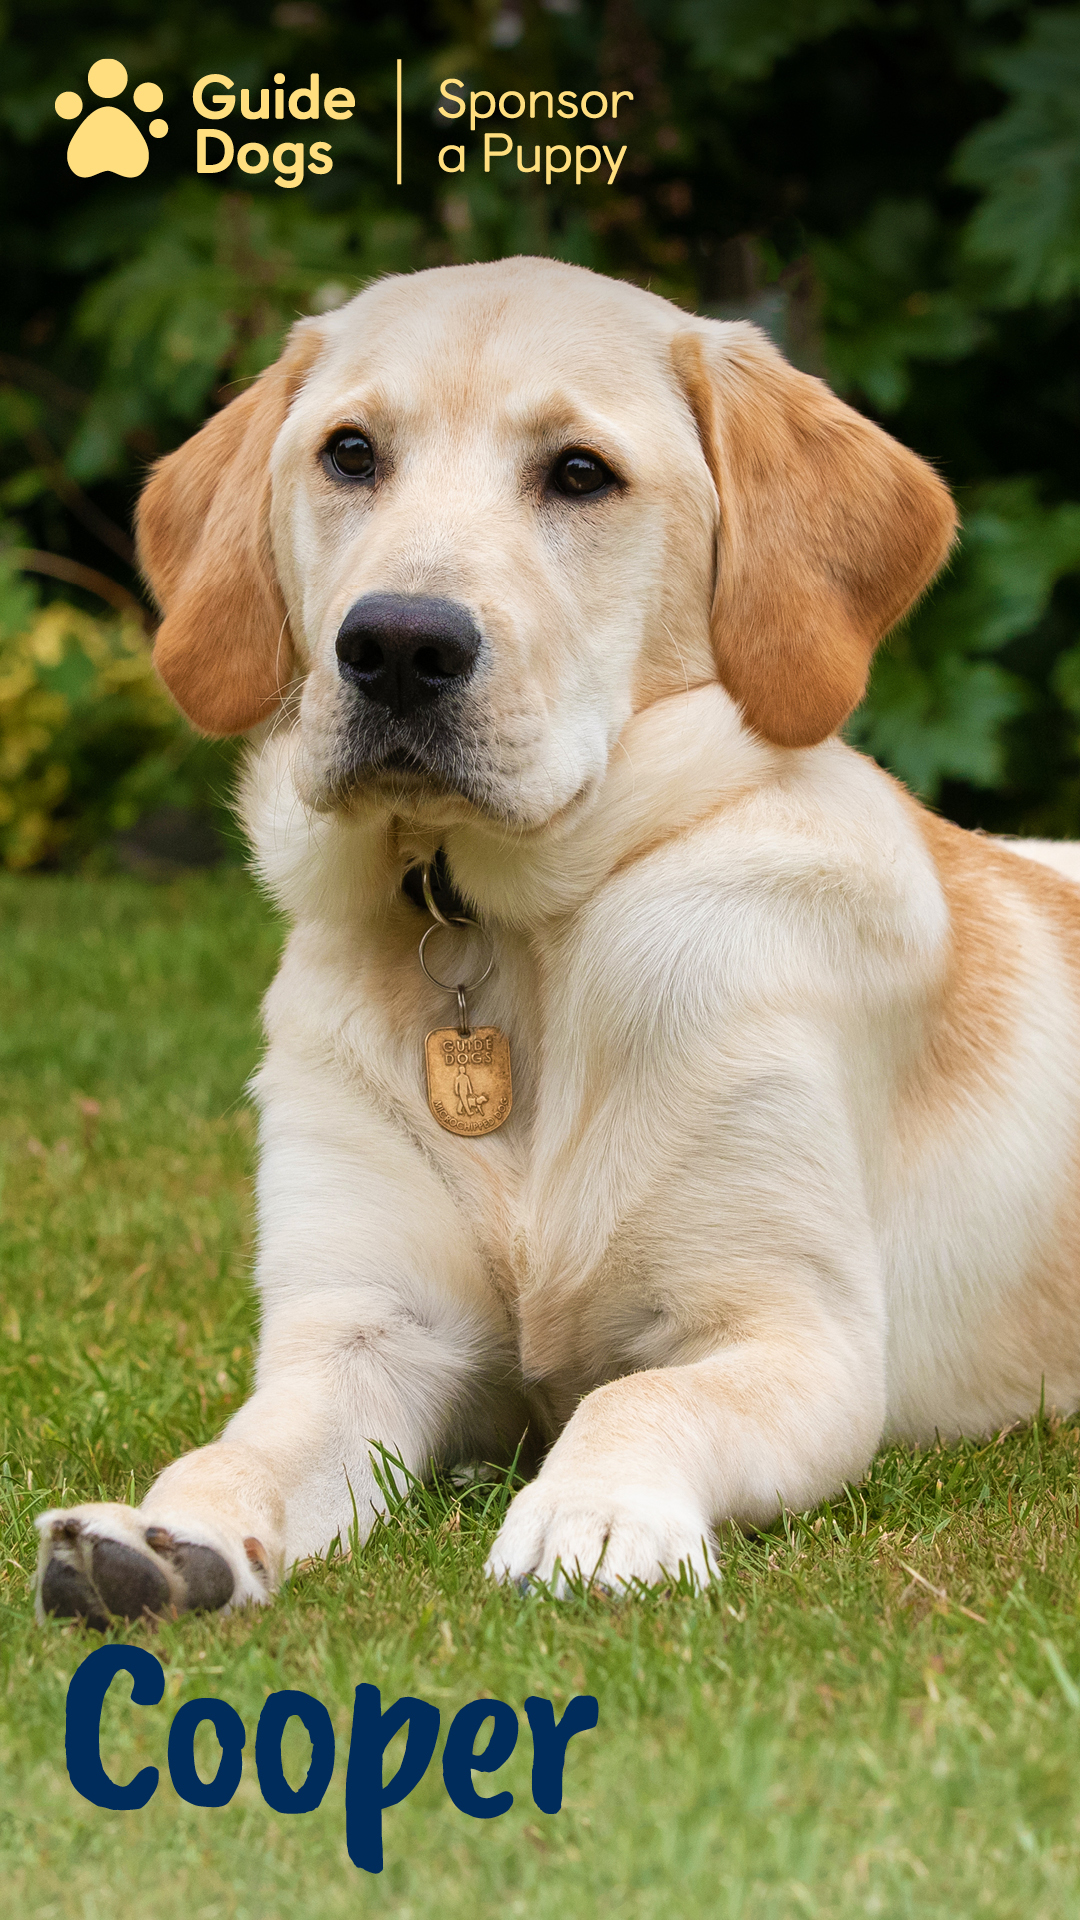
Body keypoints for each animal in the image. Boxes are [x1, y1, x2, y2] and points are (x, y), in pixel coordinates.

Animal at [35, 254, 1080, 1626]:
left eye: (580, 473)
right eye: (350, 453)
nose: (397, 644)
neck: (509, 938)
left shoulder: (795, 1337)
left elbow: (641, 1394)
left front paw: (594, 1515)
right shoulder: (367, 1330)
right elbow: (246, 1445)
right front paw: (164, 1535)